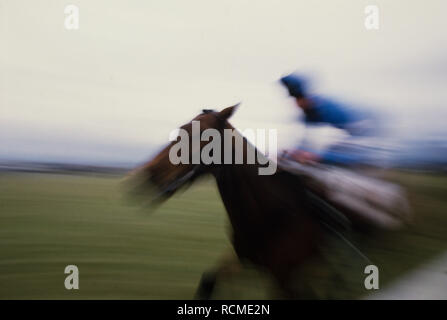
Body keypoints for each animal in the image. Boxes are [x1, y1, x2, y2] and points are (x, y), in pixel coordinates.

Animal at [126, 105, 392, 300]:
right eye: (181, 129)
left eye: (201, 135)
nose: (147, 174)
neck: (269, 216)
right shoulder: (242, 258)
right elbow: (209, 281)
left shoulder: (283, 278)